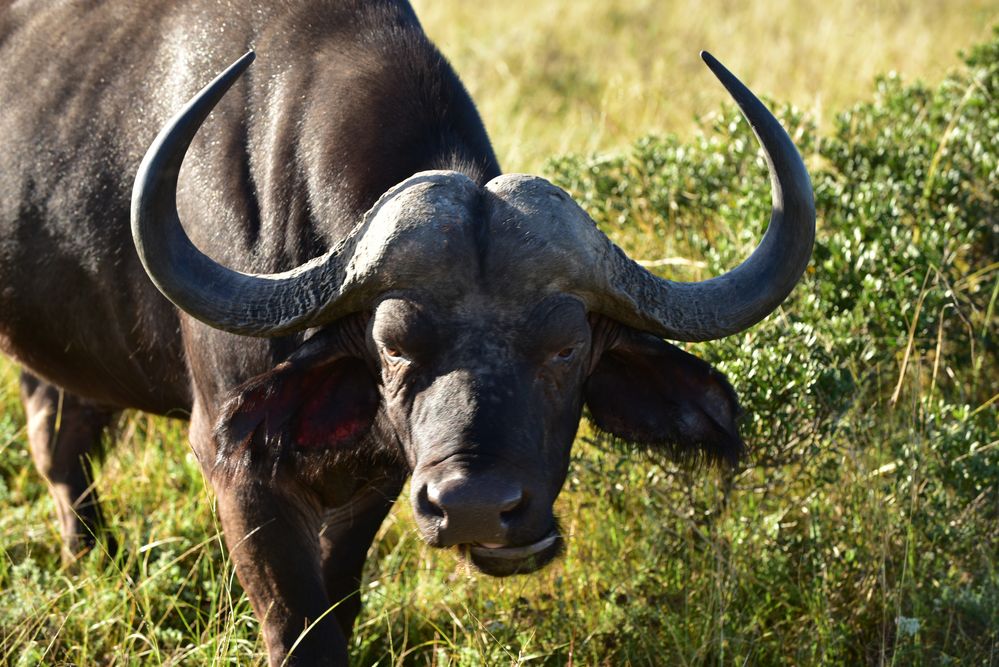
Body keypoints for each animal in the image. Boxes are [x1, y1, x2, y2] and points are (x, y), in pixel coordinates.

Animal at [0, 0, 812, 664]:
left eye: (566, 347)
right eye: (392, 344)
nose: (478, 506)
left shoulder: (377, 476)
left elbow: (339, 600)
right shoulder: (240, 469)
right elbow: (299, 629)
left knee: (59, 440)